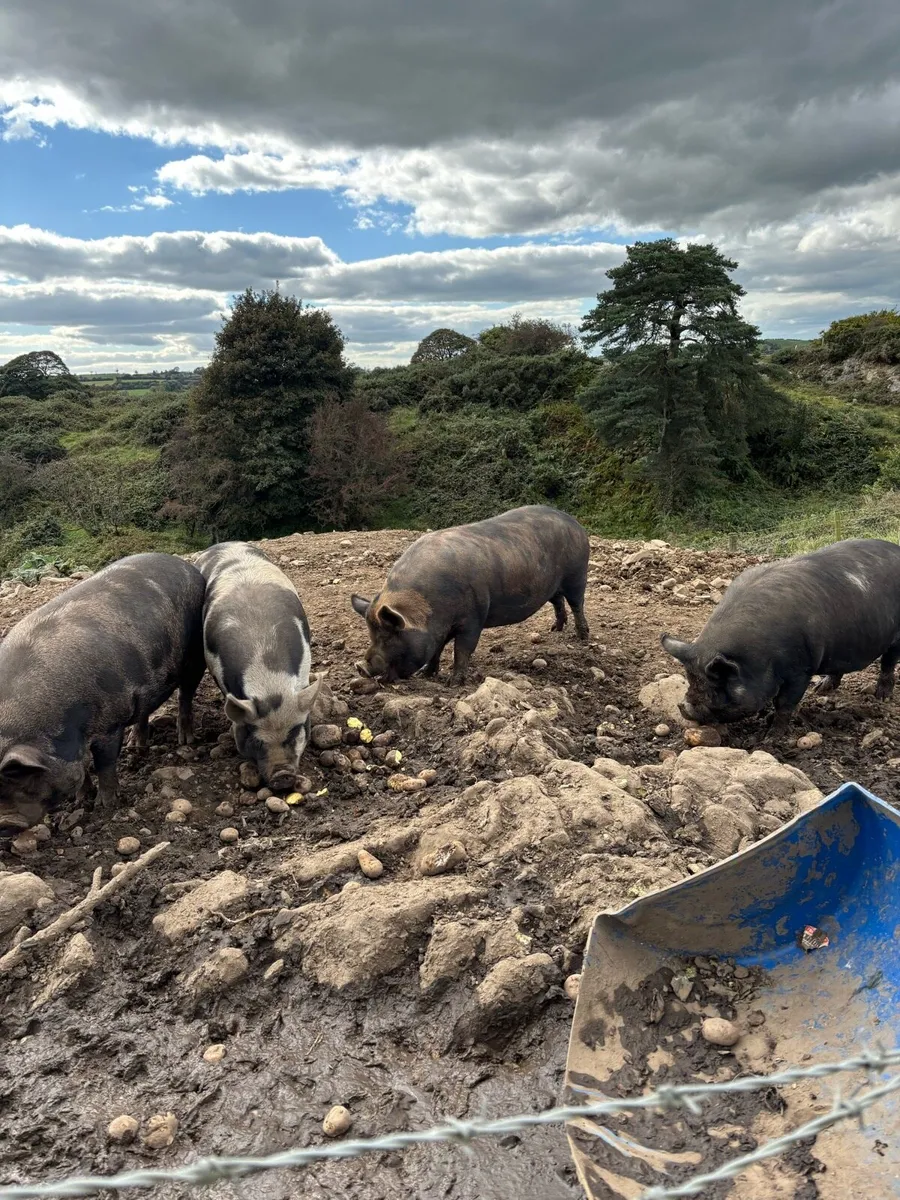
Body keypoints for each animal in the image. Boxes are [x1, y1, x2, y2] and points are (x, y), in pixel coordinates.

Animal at [0, 553, 206, 834]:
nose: (4, 823)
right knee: (145, 711)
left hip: (195, 654)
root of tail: (186, 565)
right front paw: (81, 801)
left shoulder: (109, 722)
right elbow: (82, 770)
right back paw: (136, 746)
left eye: (20, 778)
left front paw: (106, 805)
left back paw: (185, 740)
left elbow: (104, 763)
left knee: (186, 694)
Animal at [351, 504, 590, 685]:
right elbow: (436, 649)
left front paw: (453, 683)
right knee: (558, 601)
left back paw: (582, 636)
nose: (361, 666)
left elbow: (462, 649)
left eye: (389, 636)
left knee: (577, 604)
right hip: (553, 586)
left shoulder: (474, 618)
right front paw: (426, 674)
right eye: (371, 634)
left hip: (577, 575)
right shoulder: (441, 629)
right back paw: (555, 630)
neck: (431, 611)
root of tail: (573, 522)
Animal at [661, 538, 900, 735]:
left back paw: (882, 697)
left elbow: (785, 703)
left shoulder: (801, 669)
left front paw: (772, 736)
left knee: (889, 662)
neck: (760, 657)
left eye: (715, 688)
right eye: (690, 680)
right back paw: (821, 689)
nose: (684, 708)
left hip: (896, 637)